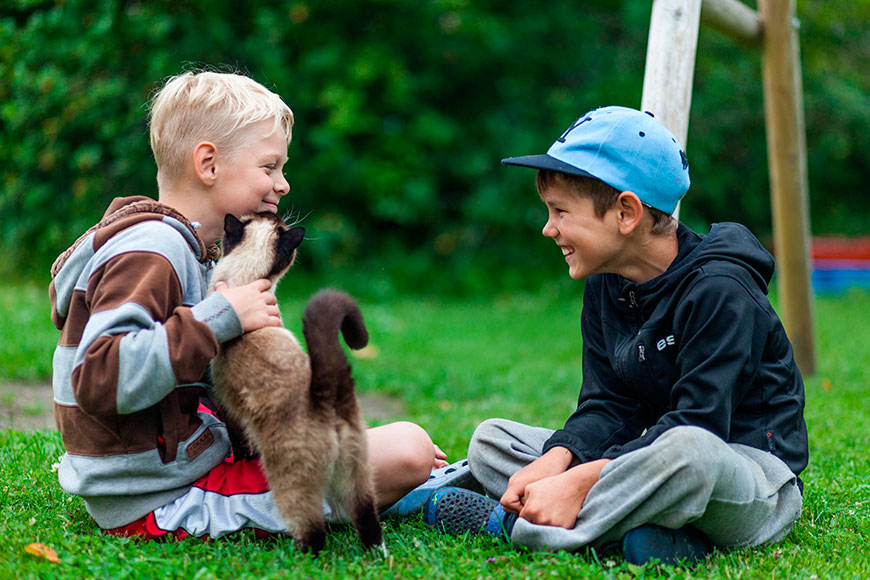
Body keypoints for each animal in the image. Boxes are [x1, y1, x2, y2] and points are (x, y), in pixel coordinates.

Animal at [209, 212, 384, 552]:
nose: (279, 213)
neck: (243, 282)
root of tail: (325, 396)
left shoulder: (228, 408)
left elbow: (239, 444)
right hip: (356, 473)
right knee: (368, 519)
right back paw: (377, 555)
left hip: (290, 484)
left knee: (314, 533)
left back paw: (296, 557)